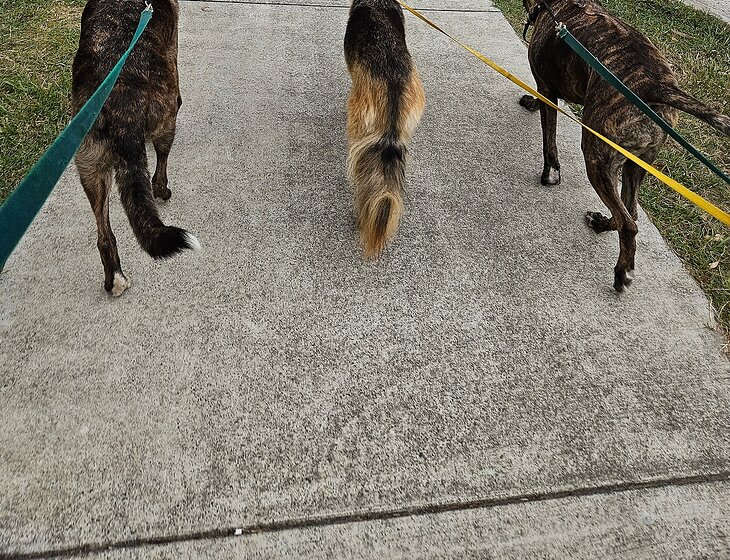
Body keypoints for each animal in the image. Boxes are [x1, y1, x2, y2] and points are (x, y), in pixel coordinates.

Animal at [72, 0, 198, 296]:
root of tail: (121, 106)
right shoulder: (173, 49)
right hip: (166, 122)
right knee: (159, 169)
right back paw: (162, 191)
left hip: (90, 166)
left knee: (104, 235)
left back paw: (114, 279)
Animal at [520, 0, 730, 291]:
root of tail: (657, 87)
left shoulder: (546, 87)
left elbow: (548, 136)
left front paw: (550, 172)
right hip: (638, 162)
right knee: (630, 212)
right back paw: (602, 224)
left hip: (597, 156)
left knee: (627, 222)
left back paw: (621, 271)